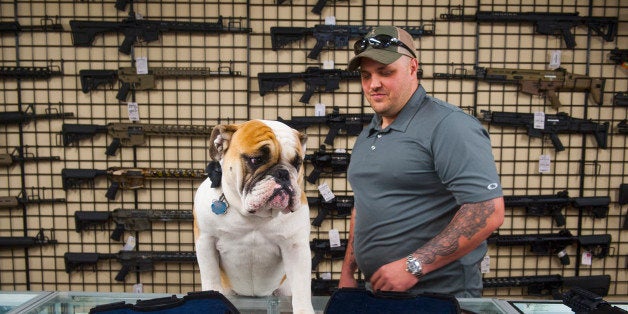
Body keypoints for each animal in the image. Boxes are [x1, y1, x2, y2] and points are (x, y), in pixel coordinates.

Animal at [194, 119, 314, 312]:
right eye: (256, 160)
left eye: (297, 163)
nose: (283, 173)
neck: (255, 216)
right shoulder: (206, 241)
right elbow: (211, 277)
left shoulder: (295, 248)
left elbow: (301, 288)